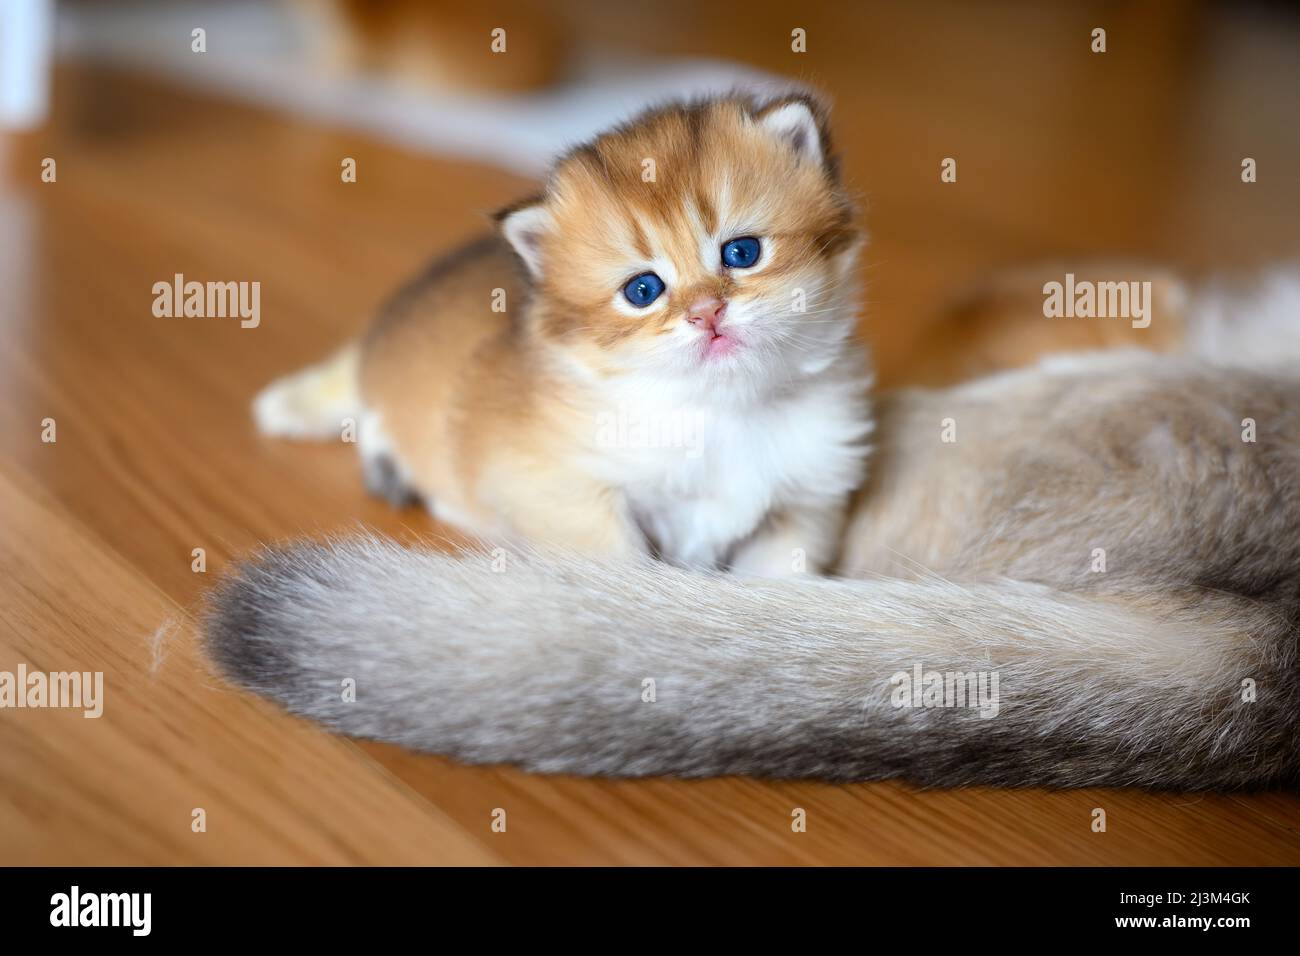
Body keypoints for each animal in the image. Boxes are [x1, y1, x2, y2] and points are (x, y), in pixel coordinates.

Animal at [254, 95, 873, 574]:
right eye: (643, 290)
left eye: (742, 253)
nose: (706, 312)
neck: (723, 410)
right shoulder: (555, 486)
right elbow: (620, 564)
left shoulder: (804, 504)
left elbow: (778, 577)